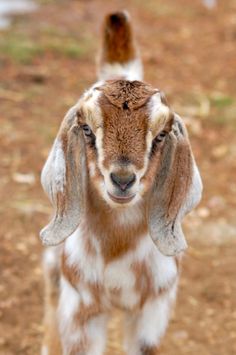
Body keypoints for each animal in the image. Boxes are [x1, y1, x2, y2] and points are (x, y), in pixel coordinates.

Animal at [39, 10, 202, 355]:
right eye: (86, 129)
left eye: (161, 135)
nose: (123, 180)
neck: (118, 249)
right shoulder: (81, 309)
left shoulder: (153, 308)